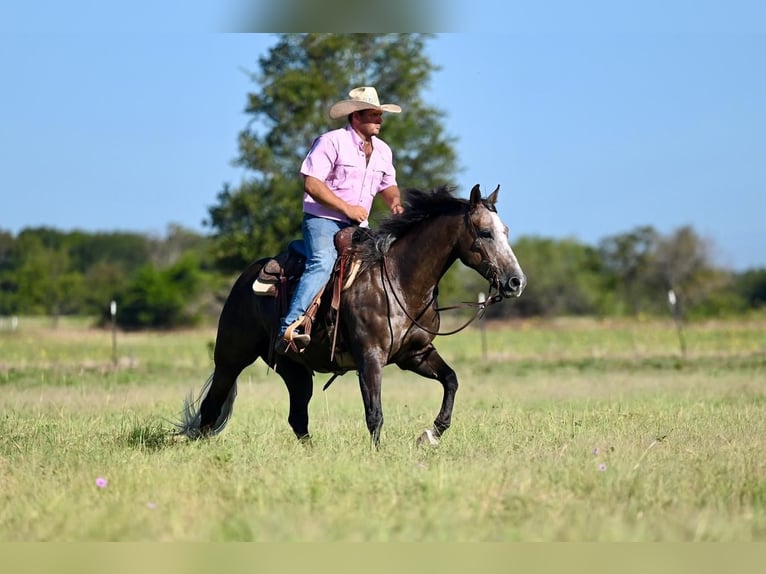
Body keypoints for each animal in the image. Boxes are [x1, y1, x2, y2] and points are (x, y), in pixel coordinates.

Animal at [178, 187, 528, 448]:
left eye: (506, 231)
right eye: (485, 232)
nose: (516, 282)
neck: (400, 281)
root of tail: (246, 277)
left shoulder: (415, 354)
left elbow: (451, 380)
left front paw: (430, 435)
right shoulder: (369, 358)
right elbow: (375, 413)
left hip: (294, 368)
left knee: (297, 416)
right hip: (231, 358)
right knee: (211, 407)